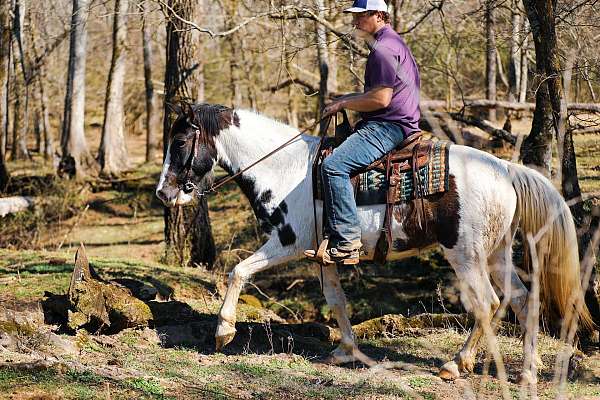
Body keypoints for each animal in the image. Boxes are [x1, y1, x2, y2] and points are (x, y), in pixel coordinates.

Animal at [156, 103, 596, 382]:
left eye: (179, 143)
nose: (164, 193)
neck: (286, 170)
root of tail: (504, 168)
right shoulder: (324, 256)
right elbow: (336, 301)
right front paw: (345, 352)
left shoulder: (286, 243)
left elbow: (238, 271)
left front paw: (223, 331)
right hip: (496, 253)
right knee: (522, 299)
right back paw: (529, 369)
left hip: (466, 255)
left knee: (487, 304)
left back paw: (456, 365)